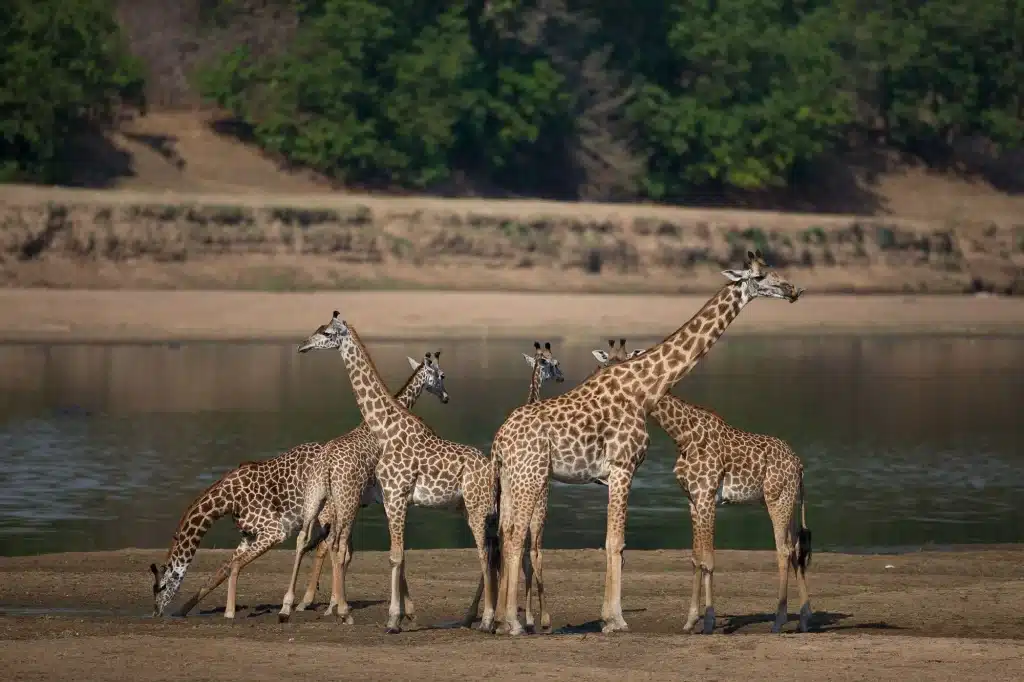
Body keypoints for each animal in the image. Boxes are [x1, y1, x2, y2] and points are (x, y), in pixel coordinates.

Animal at [276, 350, 448, 622]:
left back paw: (296, 604)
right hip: (338, 508)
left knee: (309, 541)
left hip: (321, 506)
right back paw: (324, 604)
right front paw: (407, 609)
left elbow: (351, 553)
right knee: (328, 545)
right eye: (441, 375)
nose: (446, 397)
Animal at [296, 313, 503, 630]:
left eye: (327, 333)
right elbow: (397, 556)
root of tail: (491, 468)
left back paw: (487, 620)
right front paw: (402, 615)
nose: (303, 346)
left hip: (477, 507)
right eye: (319, 329)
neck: (385, 428)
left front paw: (396, 618)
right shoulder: (392, 499)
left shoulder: (396, 496)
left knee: (485, 554)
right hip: (468, 508)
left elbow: (396, 556)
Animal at [593, 337, 815, 630]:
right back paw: (804, 619)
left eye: (624, 367)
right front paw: (690, 621)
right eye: (605, 364)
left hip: (777, 500)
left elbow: (709, 559)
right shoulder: (692, 499)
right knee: (797, 551)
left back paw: (779, 621)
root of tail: (799, 465)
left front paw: (708, 622)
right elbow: (696, 558)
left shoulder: (708, 495)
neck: (682, 435)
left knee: (784, 551)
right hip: (789, 502)